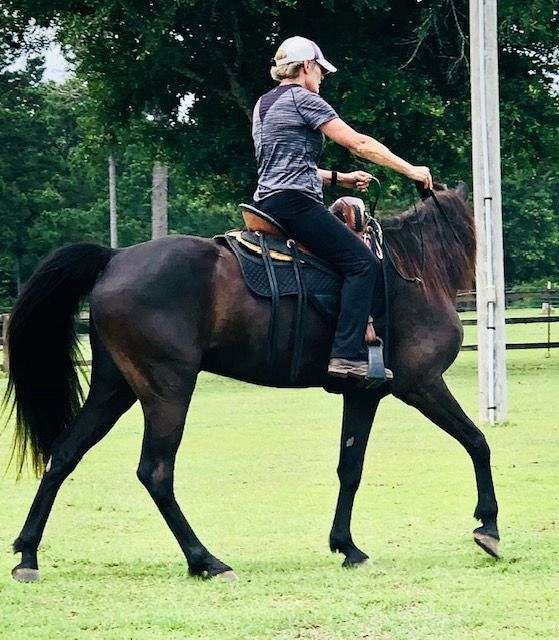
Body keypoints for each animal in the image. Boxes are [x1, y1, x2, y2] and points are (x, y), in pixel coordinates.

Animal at [6, 182, 500, 584]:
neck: (411, 269)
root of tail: (115, 258)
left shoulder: (365, 394)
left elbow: (350, 467)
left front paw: (347, 546)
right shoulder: (421, 384)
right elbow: (477, 441)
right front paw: (489, 527)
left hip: (115, 388)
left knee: (64, 455)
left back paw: (28, 555)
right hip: (167, 391)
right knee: (156, 472)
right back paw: (205, 560)